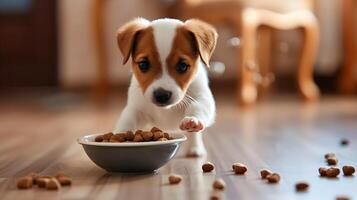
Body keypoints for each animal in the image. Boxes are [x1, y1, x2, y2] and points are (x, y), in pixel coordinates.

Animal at [113, 17, 217, 156]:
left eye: (182, 66)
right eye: (143, 64)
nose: (161, 95)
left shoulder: (202, 96)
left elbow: (199, 107)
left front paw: (193, 120)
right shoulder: (136, 108)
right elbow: (128, 120)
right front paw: (119, 135)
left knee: (194, 136)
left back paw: (195, 148)